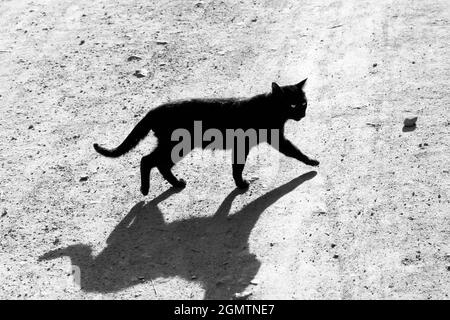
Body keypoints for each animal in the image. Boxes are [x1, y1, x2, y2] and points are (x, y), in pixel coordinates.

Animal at [94, 80, 320, 195]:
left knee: (159, 163)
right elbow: (292, 151)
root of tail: (155, 109)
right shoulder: (257, 142)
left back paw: (176, 184)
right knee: (147, 160)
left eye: (304, 103)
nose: (303, 114)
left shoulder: (259, 142)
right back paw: (146, 189)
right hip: (177, 144)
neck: (268, 108)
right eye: (293, 104)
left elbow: (239, 165)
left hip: (176, 146)